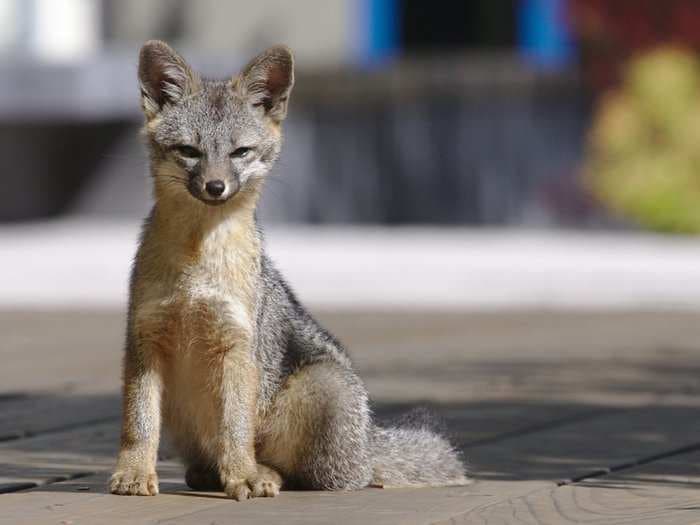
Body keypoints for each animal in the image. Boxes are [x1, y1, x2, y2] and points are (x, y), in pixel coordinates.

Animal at [109, 41, 468, 500]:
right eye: (189, 151)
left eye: (240, 152)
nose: (215, 187)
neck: (196, 263)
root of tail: (368, 443)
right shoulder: (144, 342)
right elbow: (139, 423)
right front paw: (135, 473)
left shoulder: (237, 346)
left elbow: (235, 427)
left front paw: (242, 475)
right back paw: (216, 472)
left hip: (321, 386)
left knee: (316, 476)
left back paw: (262, 472)